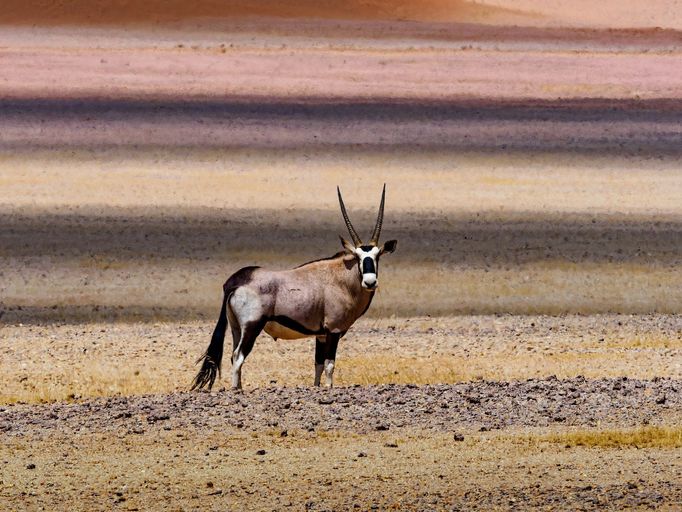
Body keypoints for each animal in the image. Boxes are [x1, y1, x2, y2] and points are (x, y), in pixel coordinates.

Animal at [189, 186, 396, 390]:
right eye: (358, 257)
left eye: (377, 256)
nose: (370, 282)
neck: (341, 278)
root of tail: (236, 280)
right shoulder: (333, 331)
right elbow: (330, 365)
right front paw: (328, 388)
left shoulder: (321, 335)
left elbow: (318, 365)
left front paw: (316, 387)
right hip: (252, 326)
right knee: (238, 356)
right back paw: (235, 390)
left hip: (236, 328)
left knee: (233, 355)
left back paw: (238, 387)